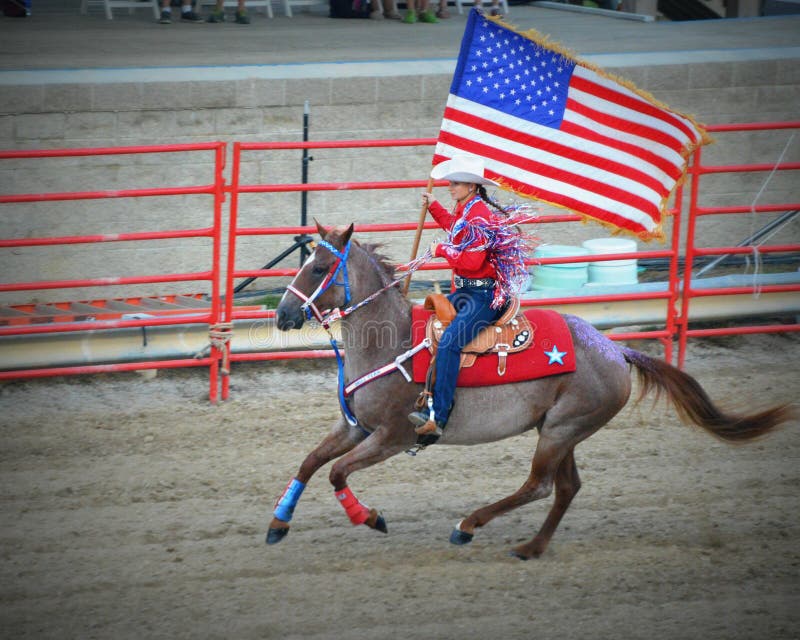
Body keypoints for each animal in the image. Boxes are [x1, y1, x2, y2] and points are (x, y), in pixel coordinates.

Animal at [268, 221, 788, 560]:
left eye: (318, 268)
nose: (283, 315)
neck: (389, 341)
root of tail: (616, 350)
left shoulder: (393, 436)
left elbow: (337, 473)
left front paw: (370, 518)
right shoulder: (355, 427)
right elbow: (311, 462)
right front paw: (278, 523)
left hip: (559, 431)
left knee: (538, 485)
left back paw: (467, 526)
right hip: (561, 429)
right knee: (567, 487)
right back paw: (531, 547)